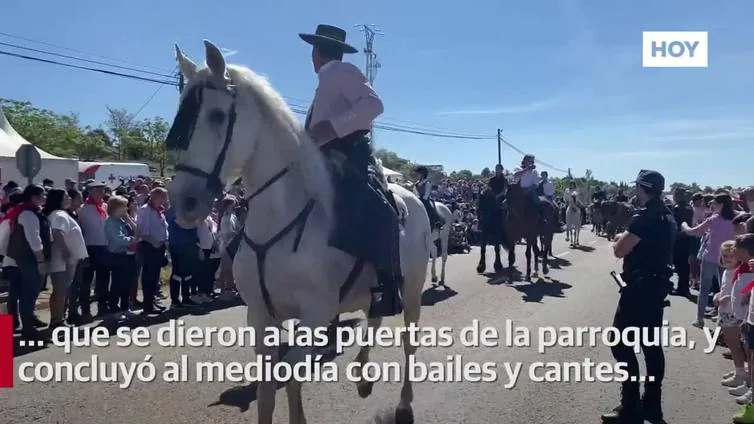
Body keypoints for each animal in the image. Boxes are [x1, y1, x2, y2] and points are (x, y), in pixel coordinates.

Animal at [168, 40, 432, 424]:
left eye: (217, 115)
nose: (184, 201)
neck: (280, 221)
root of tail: (412, 196)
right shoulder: (260, 316)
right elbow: (266, 390)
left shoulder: (317, 314)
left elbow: (291, 373)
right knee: (375, 318)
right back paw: (362, 376)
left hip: (411, 290)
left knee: (408, 340)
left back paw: (404, 403)